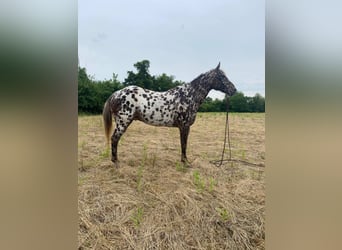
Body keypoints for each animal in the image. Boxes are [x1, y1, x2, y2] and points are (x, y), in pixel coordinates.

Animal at [101, 63, 236, 168]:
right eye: (222, 76)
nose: (234, 90)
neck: (189, 96)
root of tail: (116, 94)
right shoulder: (185, 126)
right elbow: (184, 144)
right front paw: (185, 162)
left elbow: (183, 144)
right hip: (123, 122)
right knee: (114, 139)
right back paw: (116, 162)